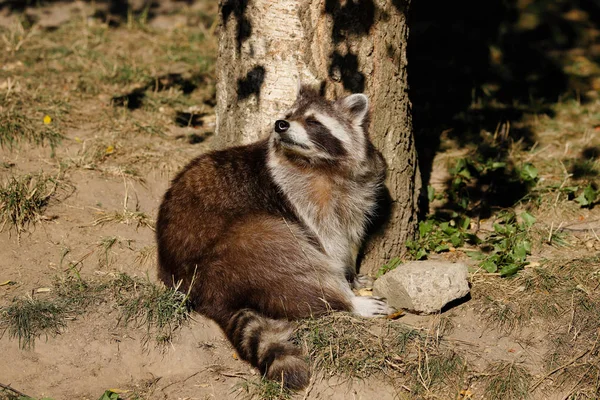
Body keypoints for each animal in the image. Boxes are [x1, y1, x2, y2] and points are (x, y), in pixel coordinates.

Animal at [156, 86, 394, 390]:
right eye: (288, 116)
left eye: (313, 121)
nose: (280, 124)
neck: (321, 164)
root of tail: (205, 293)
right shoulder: (294, 191)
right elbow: (326, 241)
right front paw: (345, 281)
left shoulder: (359, 189)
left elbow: (349, 232)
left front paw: (351, 272)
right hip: (241, 248)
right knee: (289, 255)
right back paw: (346, 301)